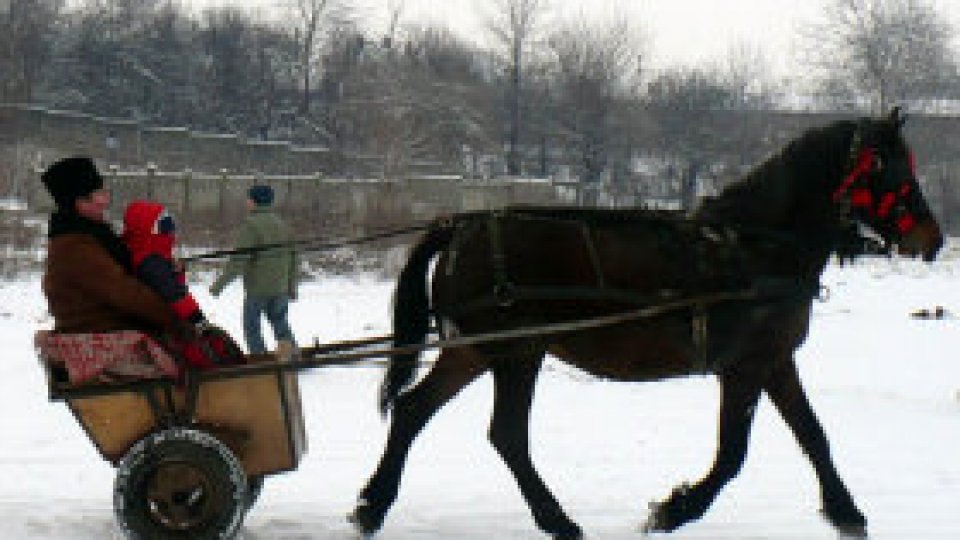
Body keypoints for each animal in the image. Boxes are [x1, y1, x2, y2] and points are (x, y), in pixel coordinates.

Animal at [348, 107, 940, 536]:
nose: (932, 238)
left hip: (476, 349)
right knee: (506, 434)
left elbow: (814, 435)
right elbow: (732, 455)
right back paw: (555, 518)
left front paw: (845, 511)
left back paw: (372, 505)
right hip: (517, 351)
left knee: (414, 411)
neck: (754, 248)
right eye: (890, 168)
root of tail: (462, 225)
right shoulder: (745, 368)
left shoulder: (773, 361)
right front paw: (675, 509)